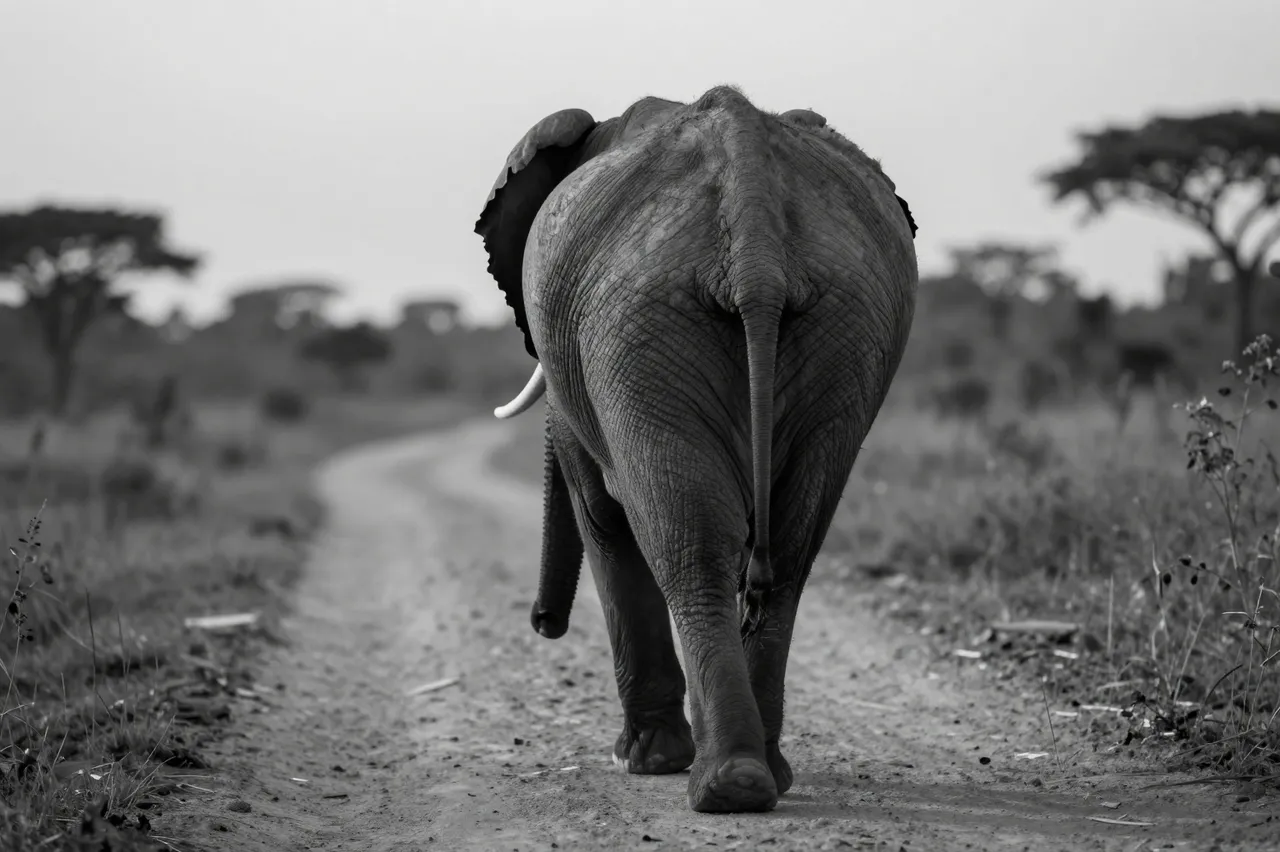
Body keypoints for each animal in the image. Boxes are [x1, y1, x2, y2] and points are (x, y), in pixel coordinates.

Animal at [474, 85, 919, 813]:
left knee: (690, 543)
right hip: (850, 325)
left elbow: (603, 517)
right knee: (790, 547)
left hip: (635, 324)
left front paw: (640, 762)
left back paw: (717, 783)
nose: (543, 622)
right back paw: (760, 776)